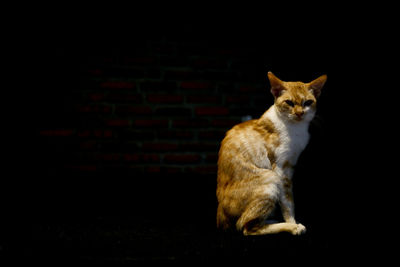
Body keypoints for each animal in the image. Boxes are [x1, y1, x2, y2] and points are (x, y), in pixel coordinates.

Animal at [217, 72, 326, 236]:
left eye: (308, 102)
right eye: (289, 102)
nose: (300, 113)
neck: (296, 129)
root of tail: (220, 216)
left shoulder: (291, 165)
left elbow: (288, 201)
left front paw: (291, 221)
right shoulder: (280, 169)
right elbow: (287, 201)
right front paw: (293, 223)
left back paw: (271, 219)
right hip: (270, 178)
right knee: (245, 226)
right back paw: (287, 226)